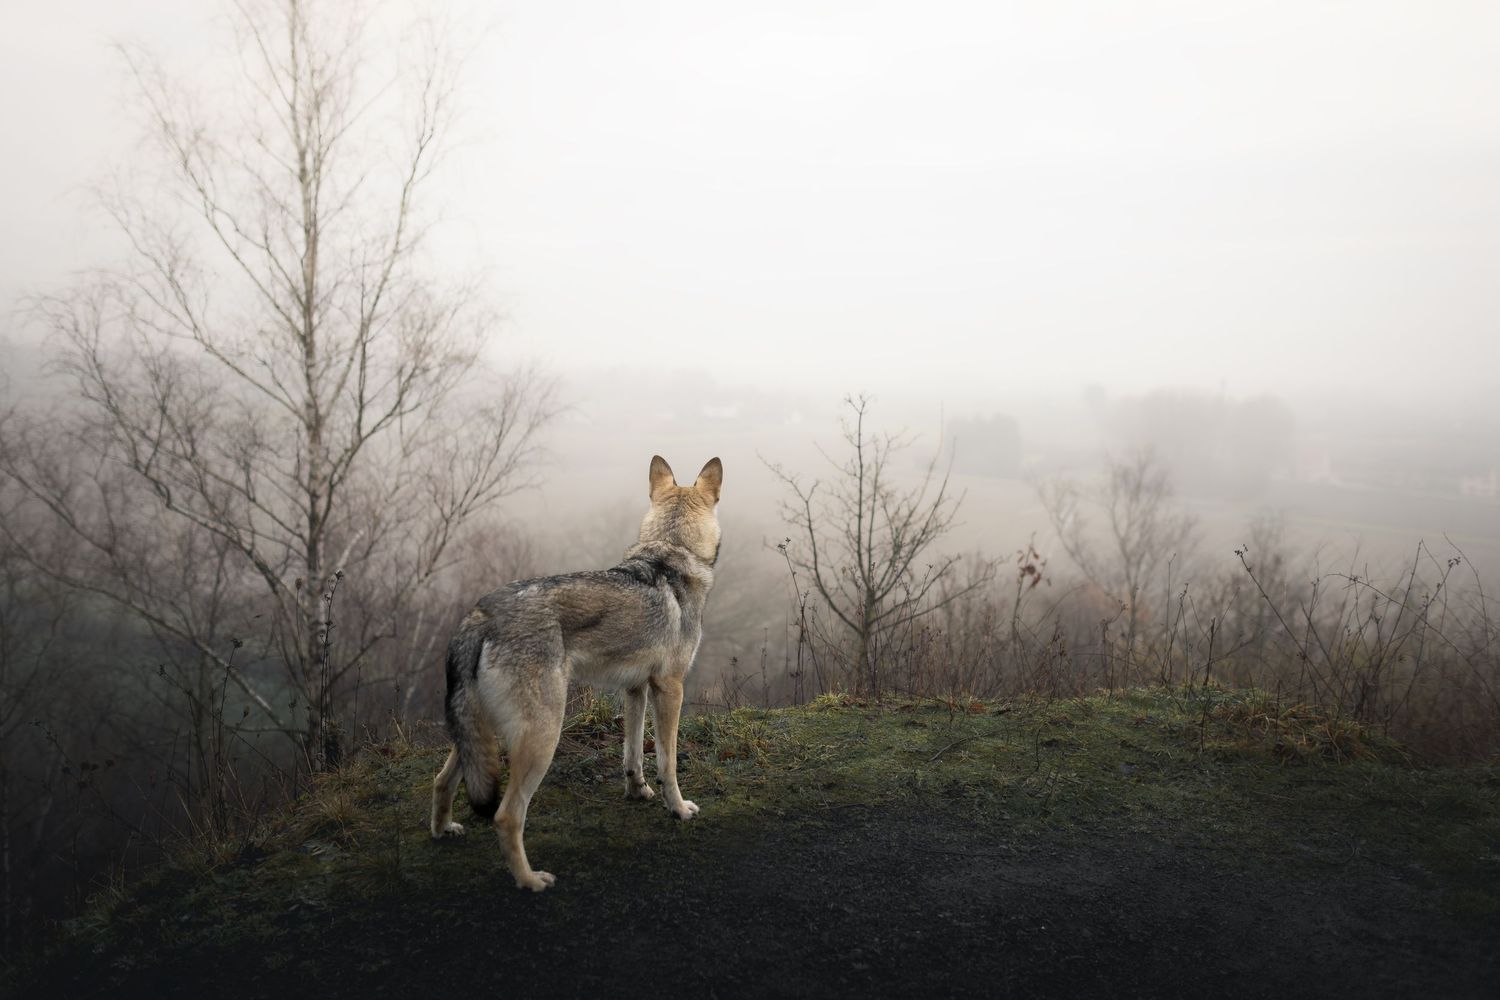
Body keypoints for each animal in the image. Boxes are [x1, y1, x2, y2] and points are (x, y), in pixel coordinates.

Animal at [429, 455, 723, 891]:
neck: (671, 552)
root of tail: (480, 615)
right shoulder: (670, 689)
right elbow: (667, 762)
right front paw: (679, 810)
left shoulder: (635, 689)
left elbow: (633, 754)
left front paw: (638, 793)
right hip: (542, 734)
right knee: (506, 815)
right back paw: (530, 881)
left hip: (479, 732)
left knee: (442, 780)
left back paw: (443, 830)